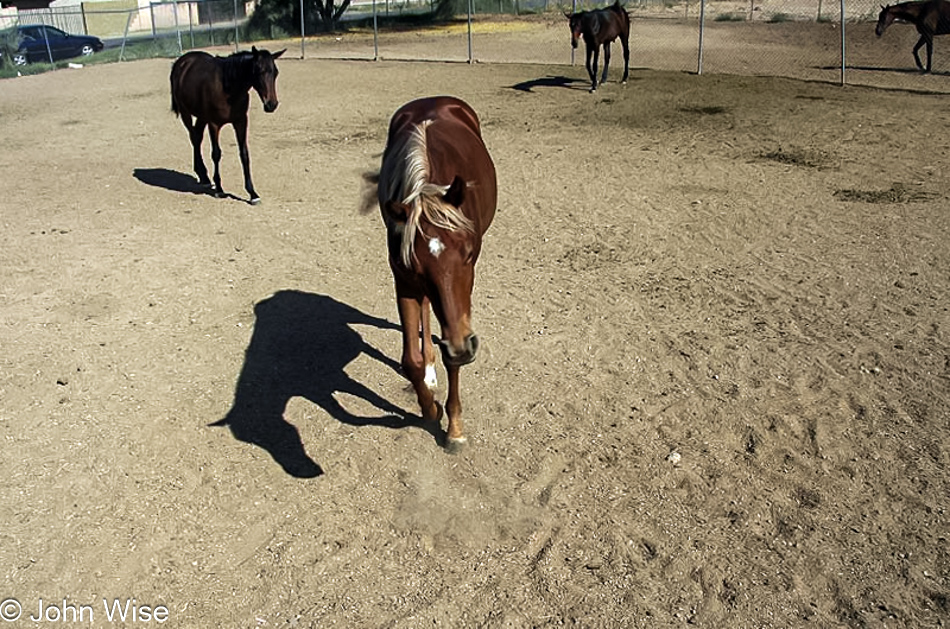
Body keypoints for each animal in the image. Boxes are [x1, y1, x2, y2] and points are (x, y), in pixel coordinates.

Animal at [171, 47, 284, 204]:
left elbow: (244, 154)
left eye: (275, 72)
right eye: (258, 71)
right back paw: (204, 176)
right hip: (185, 113)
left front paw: (252, 193)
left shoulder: (241, 122)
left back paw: (204, 177)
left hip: (202, 117)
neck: (229, 87)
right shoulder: (214, 124)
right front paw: (219, 189)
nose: (271, 104)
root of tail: (181, 62)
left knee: (197, 137)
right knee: (194, 138)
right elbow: (216, 154)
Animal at [368, 95, 498, 452]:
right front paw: (430, 407)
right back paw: (429, 368)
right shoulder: (405, 280)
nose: (464, 347)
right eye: (416, 266)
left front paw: (454, 428)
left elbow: (453, 352)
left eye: (467, 253)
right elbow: (409, 359)